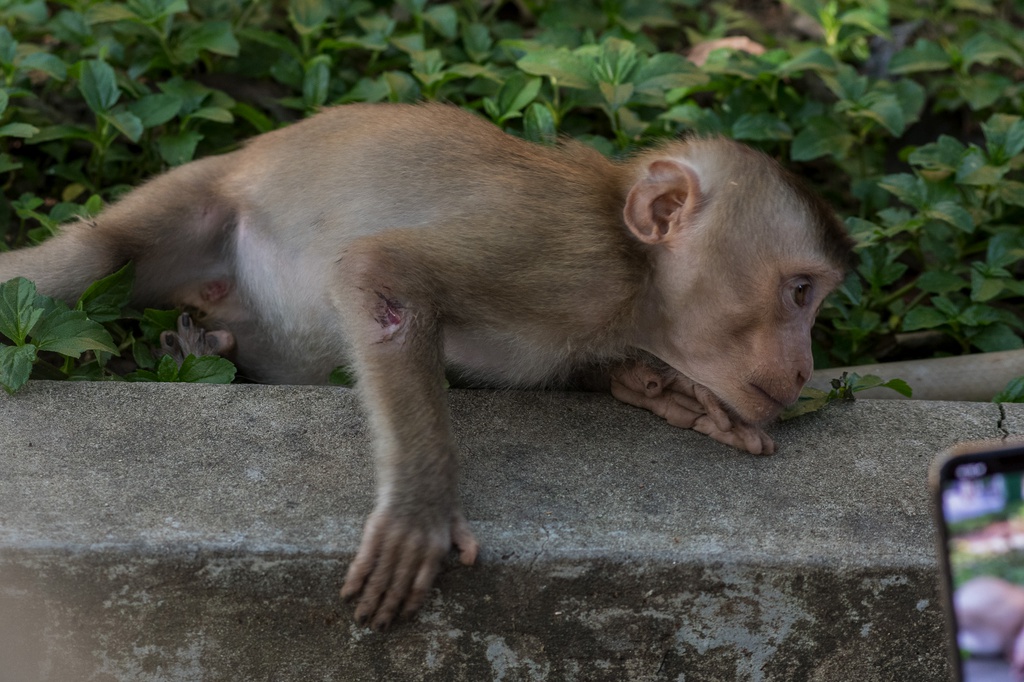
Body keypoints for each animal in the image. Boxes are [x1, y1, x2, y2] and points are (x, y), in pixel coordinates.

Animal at [0, 100, 851, 626]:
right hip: (195, 202)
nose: (804, 370)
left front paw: (665, 390)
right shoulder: (566, 260)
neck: (637, 283)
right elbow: (386, 275)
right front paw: (420, 506)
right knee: (88, 259)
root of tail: (245, 155)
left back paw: (202, 349)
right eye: (800, 291)